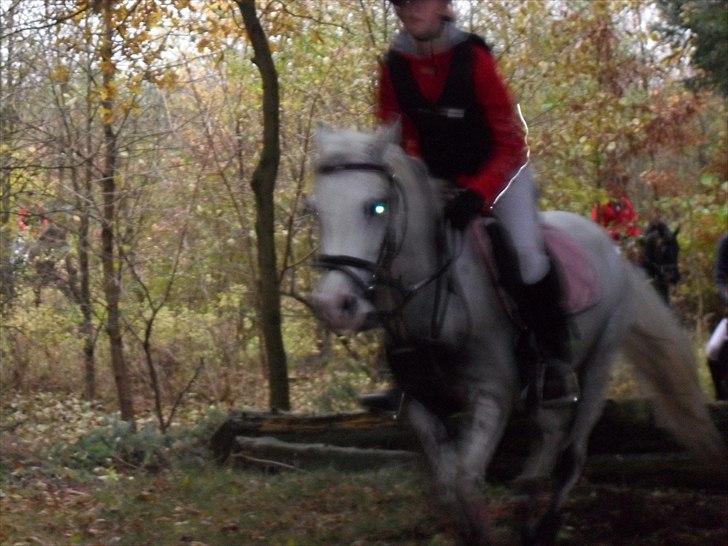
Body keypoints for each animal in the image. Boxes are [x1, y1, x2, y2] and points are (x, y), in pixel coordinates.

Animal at [306, 124, 724, 544]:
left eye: (376, 207)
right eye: (316, 211)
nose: (334, 304)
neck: (440, 302)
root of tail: (613, 252)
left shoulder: (492, 395)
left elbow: (466, 479)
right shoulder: (422, 404)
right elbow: (447, 483)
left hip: (598, 362)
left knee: (573, 452)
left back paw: (546, 522)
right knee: (551, 435)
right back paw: (528, 499)